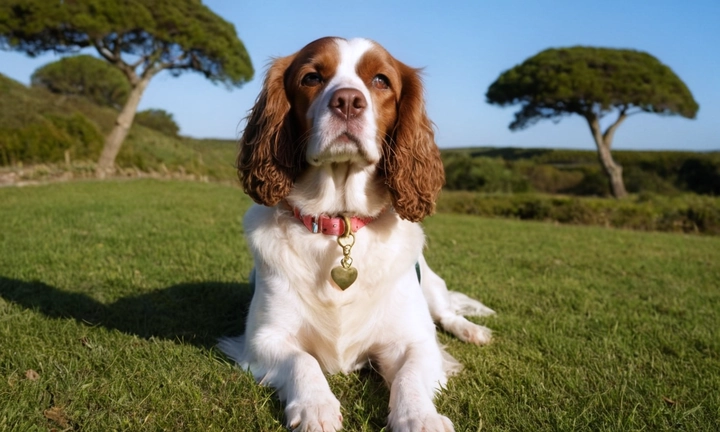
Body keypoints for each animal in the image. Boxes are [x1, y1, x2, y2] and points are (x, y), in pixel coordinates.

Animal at [217, 37, 492, 432]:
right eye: (311, 77)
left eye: (380, 80)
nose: (347, 100)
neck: (341, 221)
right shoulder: (263, 339)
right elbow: (303, 361)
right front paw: (315, 406)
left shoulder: (415, 341)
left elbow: (409, 374)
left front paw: (419, 417)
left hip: (431, 286)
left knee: (447, 312)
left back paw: (473, 331)